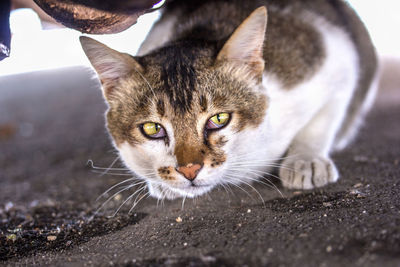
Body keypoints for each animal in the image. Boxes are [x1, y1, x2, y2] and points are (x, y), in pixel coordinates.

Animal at [79, 0, 378, 201]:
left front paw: (307, 159)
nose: (189, 170)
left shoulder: (334, 57)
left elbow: (323, 119)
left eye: (219, 119)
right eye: (152, 129)